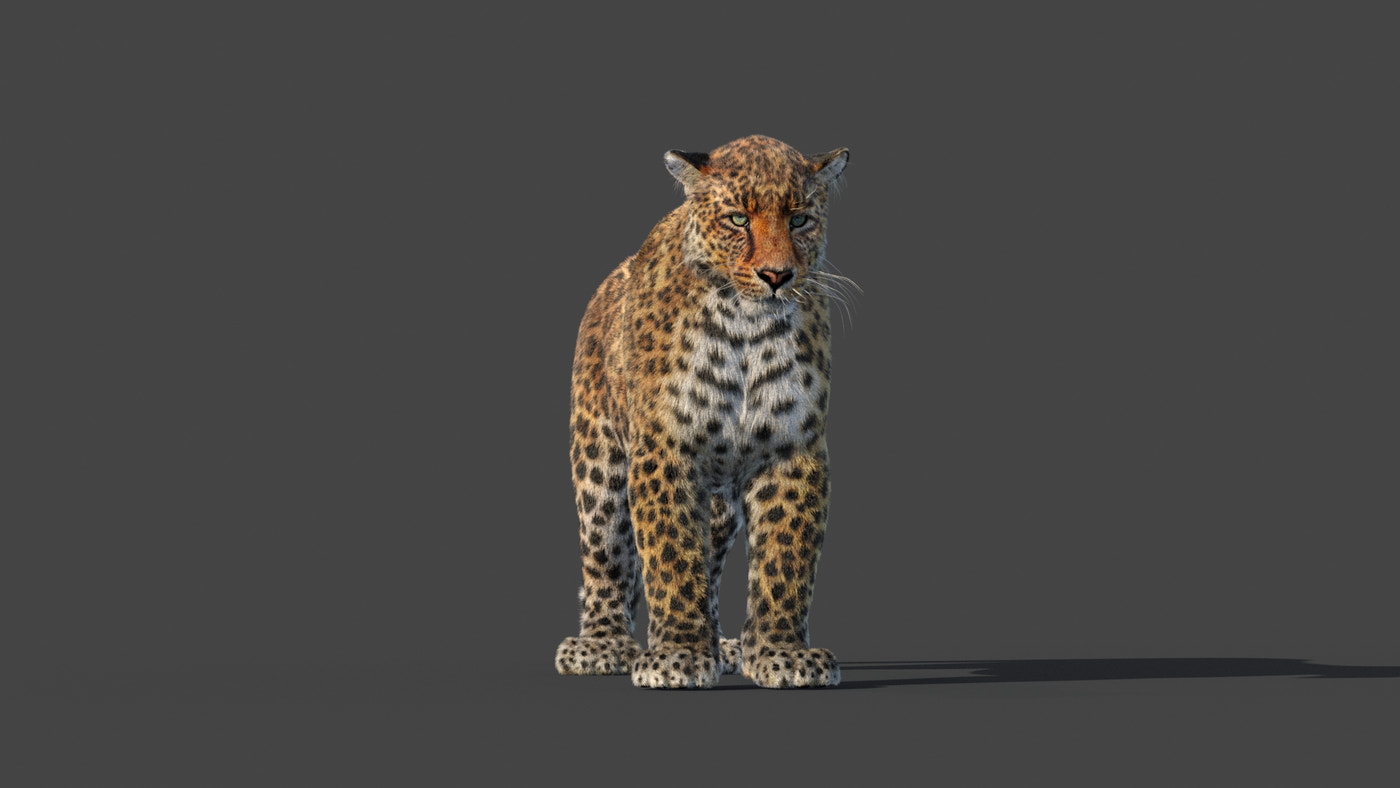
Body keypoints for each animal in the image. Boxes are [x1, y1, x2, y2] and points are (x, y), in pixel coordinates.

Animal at [554, 135, 852, 689]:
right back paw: (602, 645)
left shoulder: (792, 449)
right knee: (606, 556)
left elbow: (787, 559)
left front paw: (781, 654)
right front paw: (678, 656)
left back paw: (725, 646)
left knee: (709, 559)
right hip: (598, 463)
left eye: (800, 219)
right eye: (737, 219)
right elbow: (670, 555)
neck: (748, 327)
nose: (777, 276)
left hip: (717, 504)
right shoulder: (666, 449)